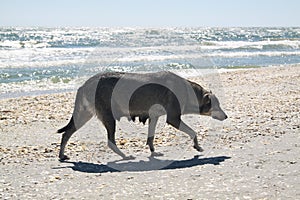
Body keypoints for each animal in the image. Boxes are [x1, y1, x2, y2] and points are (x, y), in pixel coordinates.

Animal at [56, 70, 227, 161]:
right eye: (217, 105)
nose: (226, 116)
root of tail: (84, 85)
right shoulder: (173, 118)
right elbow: (193, 132)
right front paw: (197, 145)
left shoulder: (154, 116)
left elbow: (150, 136)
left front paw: (153, 151)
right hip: (108, 116)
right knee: (110, 141)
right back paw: (124, 156)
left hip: (84, 114)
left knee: (67, 133)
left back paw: (62, 154)